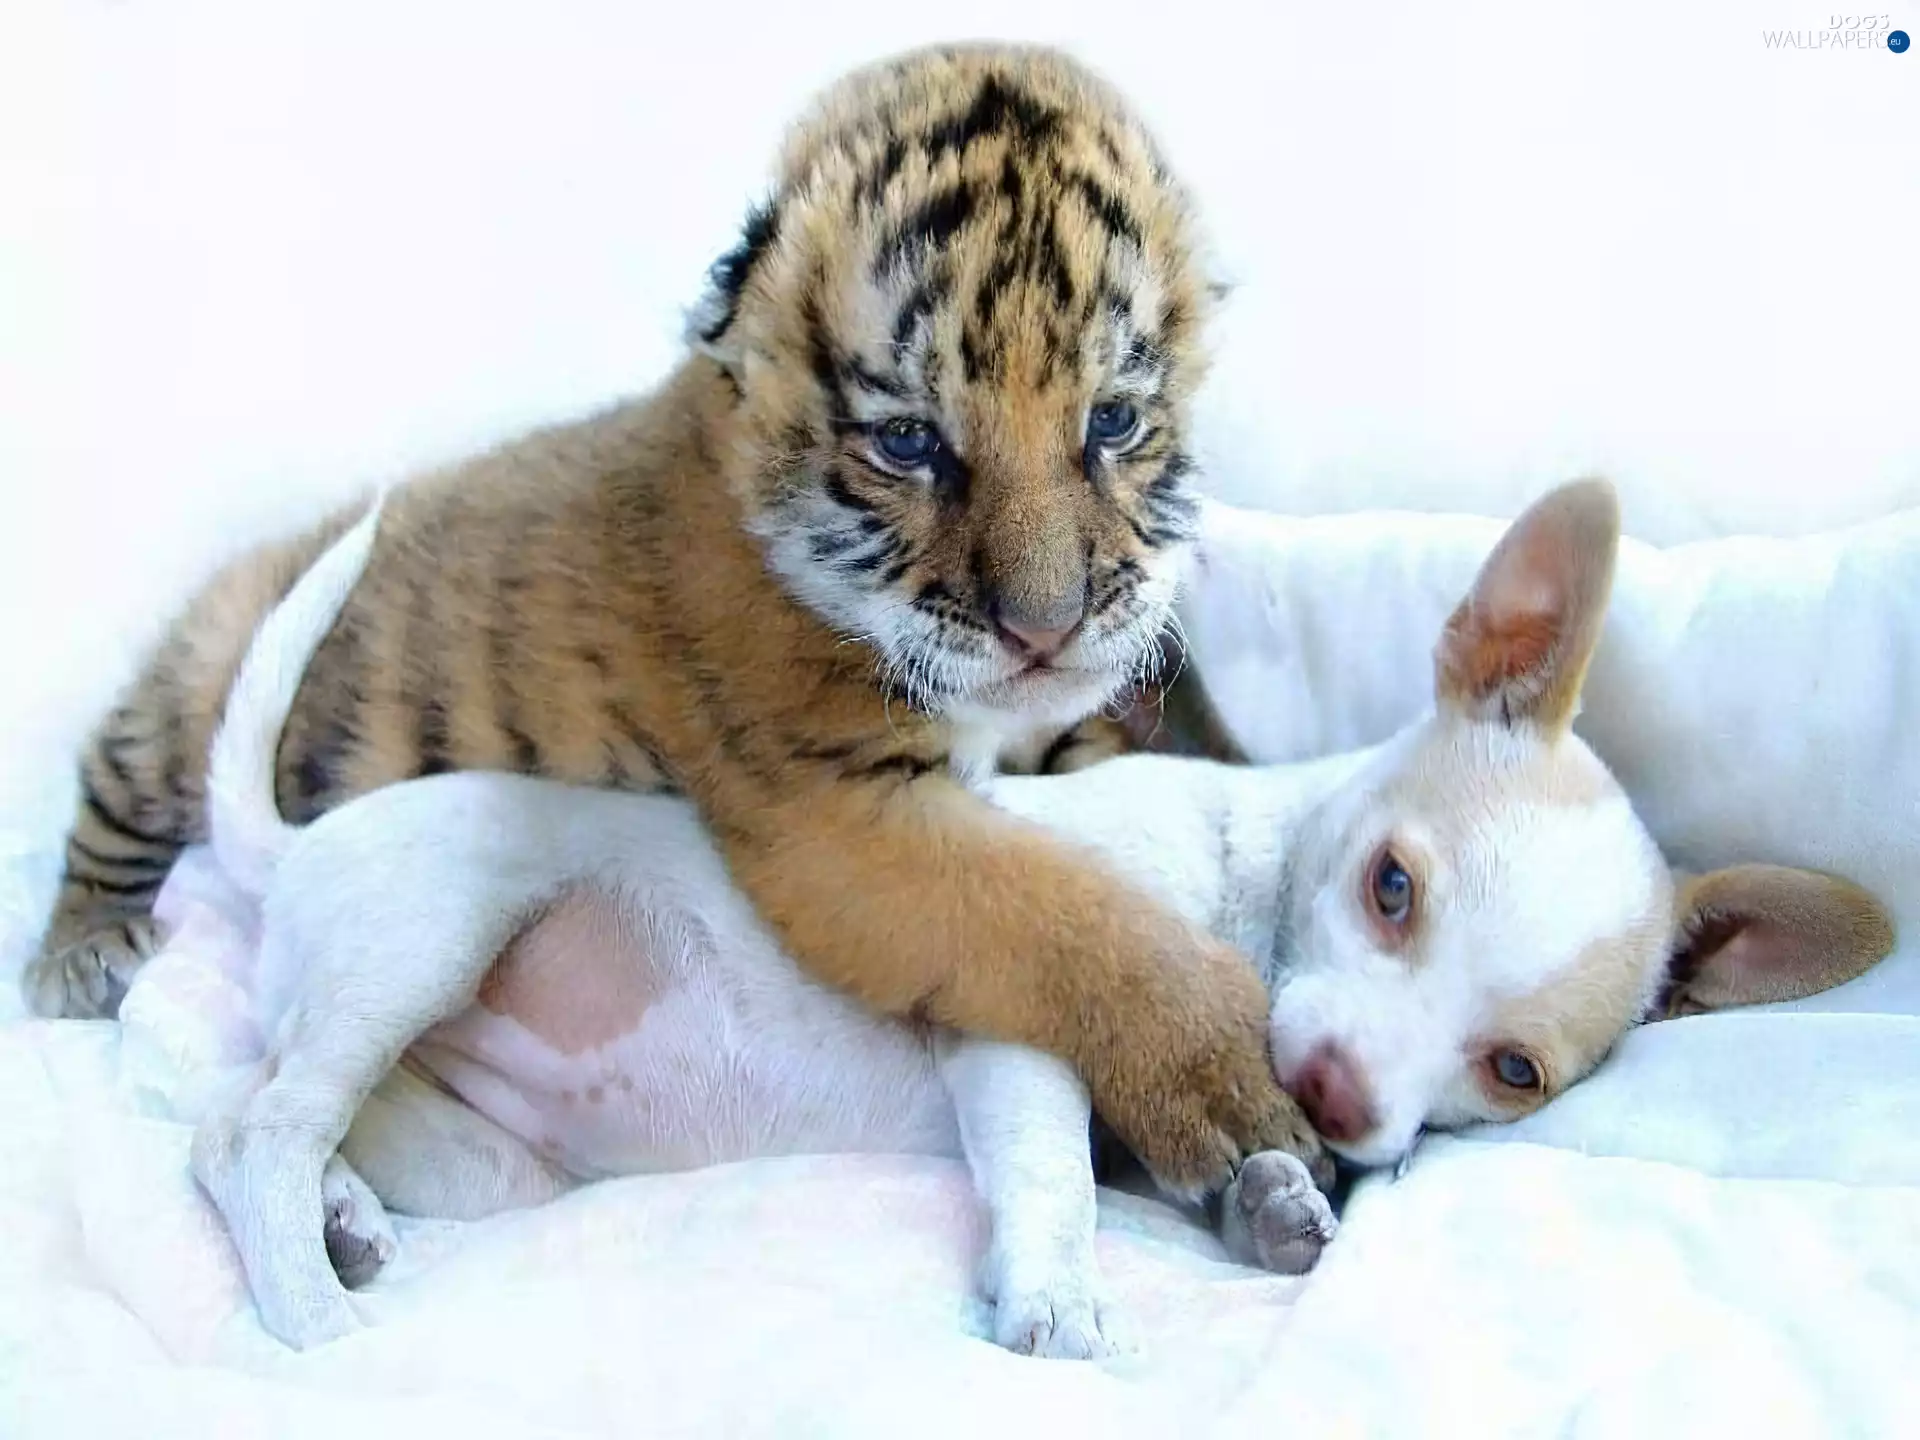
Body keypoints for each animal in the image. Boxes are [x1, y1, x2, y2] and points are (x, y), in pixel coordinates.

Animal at [26, 43, 1319, 1190]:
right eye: (909, 443)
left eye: (1113, 422)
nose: (1043, 631)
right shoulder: (836, 813)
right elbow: (1059, 912)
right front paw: (1230, 1087)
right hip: (189, 692)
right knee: (106, 807)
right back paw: (77, 959)